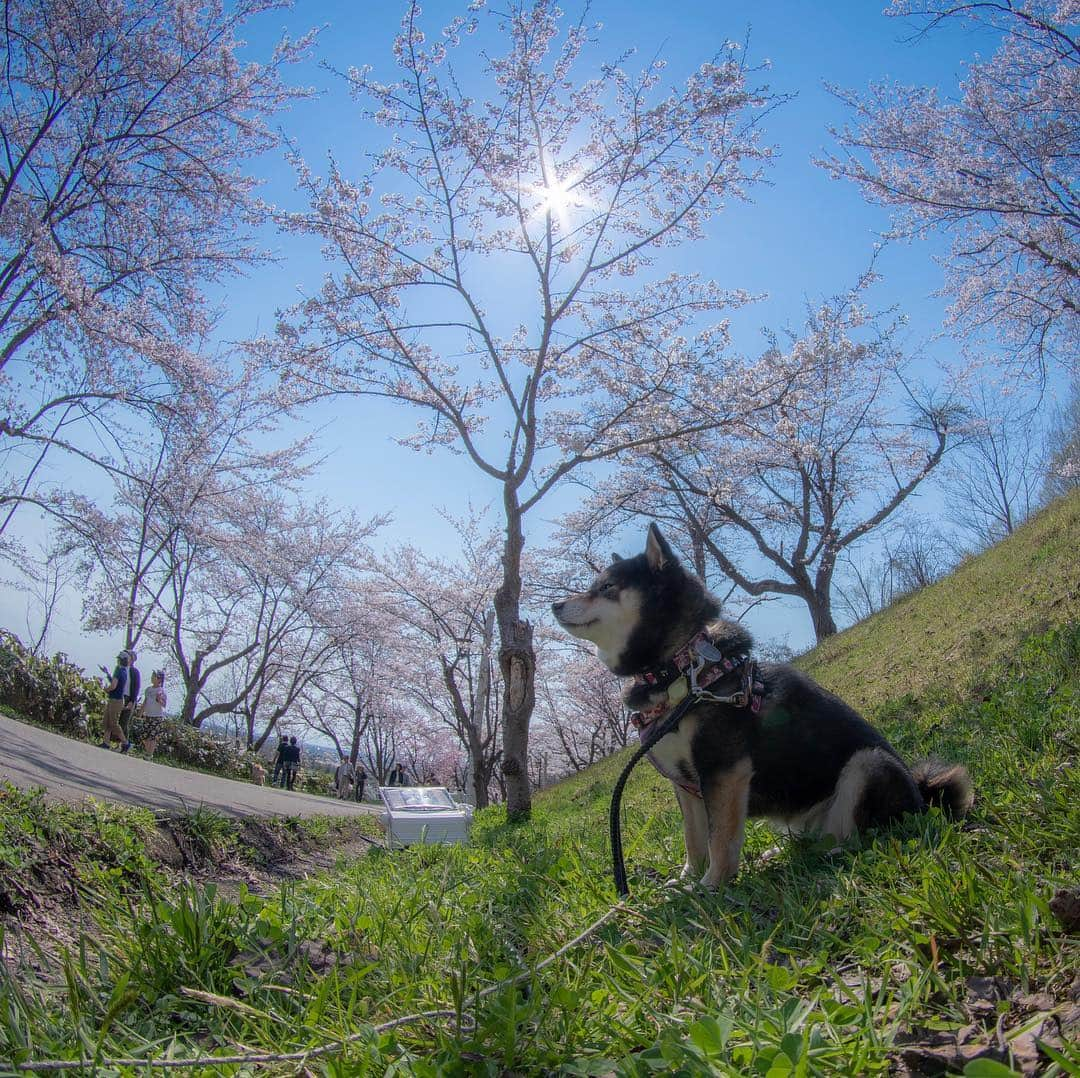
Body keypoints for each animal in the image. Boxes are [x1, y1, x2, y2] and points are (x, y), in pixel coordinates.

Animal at [552, 524, 976, 894]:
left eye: (606, 587)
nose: (555, 604)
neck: (681, 669)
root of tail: (924, 799)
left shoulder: (723, 771)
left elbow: (720, 839)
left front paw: (712, 886)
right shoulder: (686, 785)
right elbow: (694, 839)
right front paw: (687, 880)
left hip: (868, 763)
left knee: (862, 833)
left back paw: (835, 854)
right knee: (819, 837)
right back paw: (780, 854)